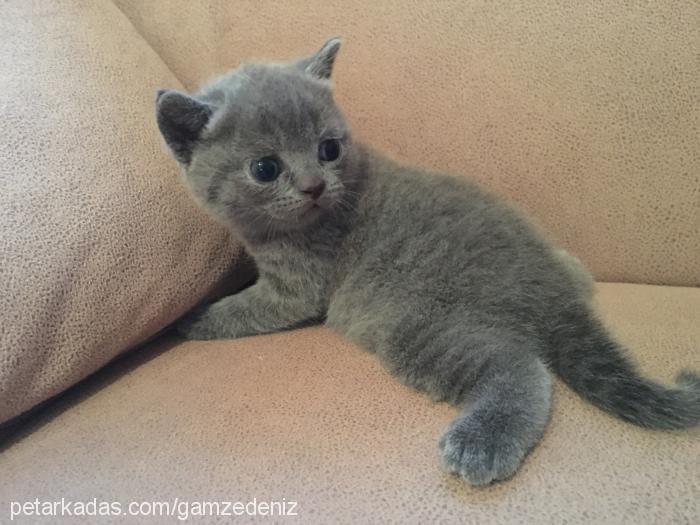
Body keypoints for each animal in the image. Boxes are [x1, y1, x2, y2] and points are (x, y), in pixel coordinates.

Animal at [156, 40, 696, 484]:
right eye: (265, 168)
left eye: (328, 149)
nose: (313, 185)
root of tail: (548, 287)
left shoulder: (295, 289)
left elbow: (241, 310)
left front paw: (191, 319)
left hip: (420, 326)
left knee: (523, 369)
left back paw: (481, 442)